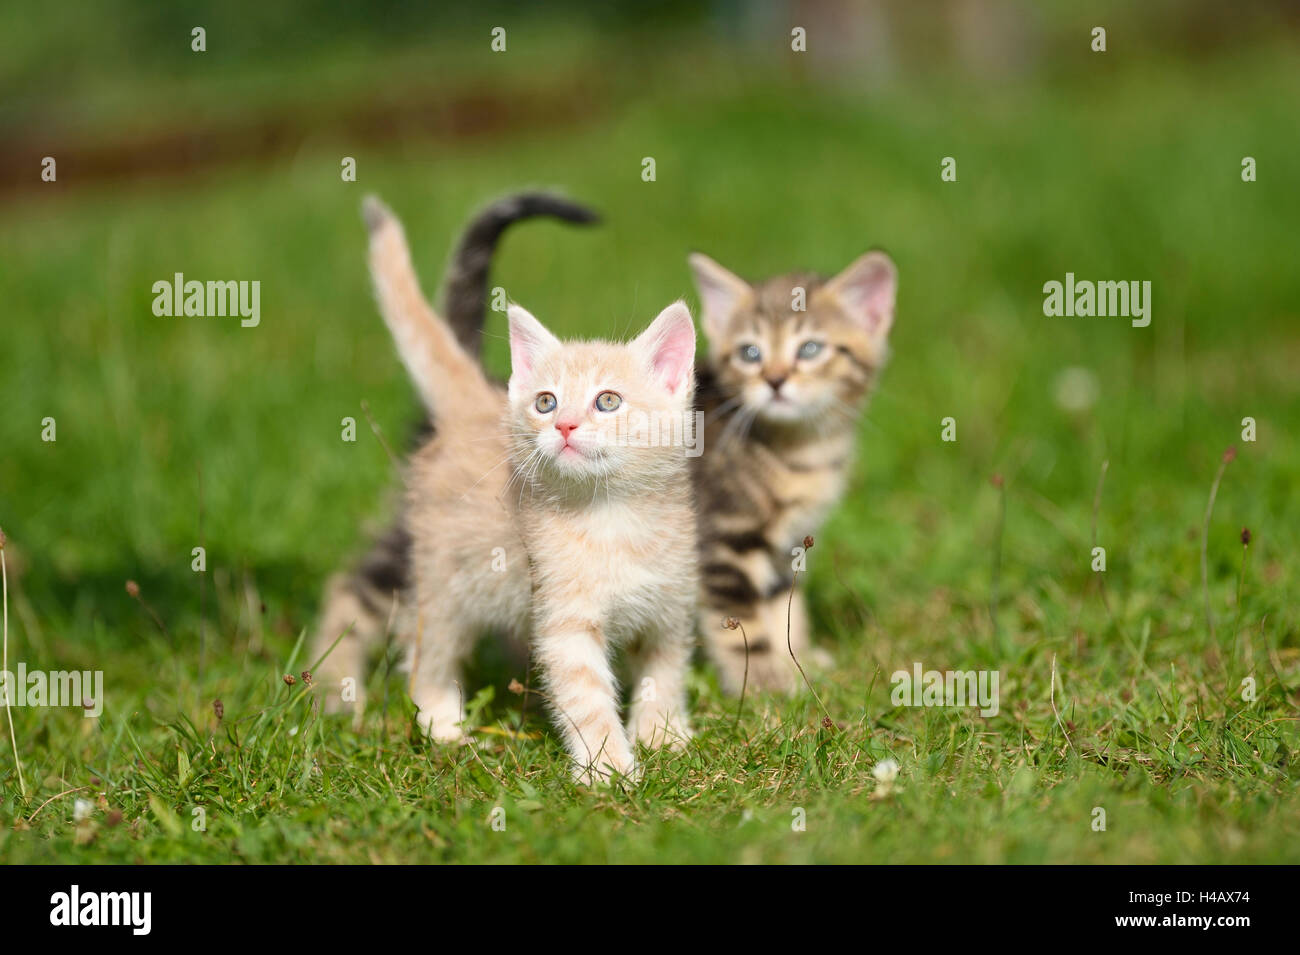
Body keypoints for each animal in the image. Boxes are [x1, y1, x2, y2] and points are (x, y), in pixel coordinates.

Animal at [314, 200, 702, 784]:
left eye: (608, 401)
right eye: (545, 402)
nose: (563, 425)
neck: (613, 516)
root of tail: (476, 404)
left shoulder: (668, 606)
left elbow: (666, 672)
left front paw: (663, 736)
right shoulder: (564, 623)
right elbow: (586, 697)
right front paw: (609, 769)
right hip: (443, 577)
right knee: (425, 648)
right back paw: (441, 724)